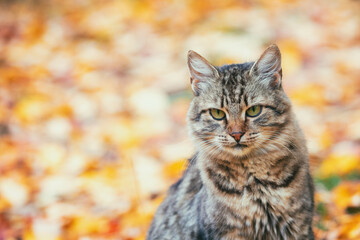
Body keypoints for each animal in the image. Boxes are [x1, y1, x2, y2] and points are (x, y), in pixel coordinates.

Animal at [146, 45, 312, 240]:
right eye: (217, 113)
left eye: (254, 110)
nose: (236, 134)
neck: (255, 182)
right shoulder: (225, 232)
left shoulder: (299, 224)